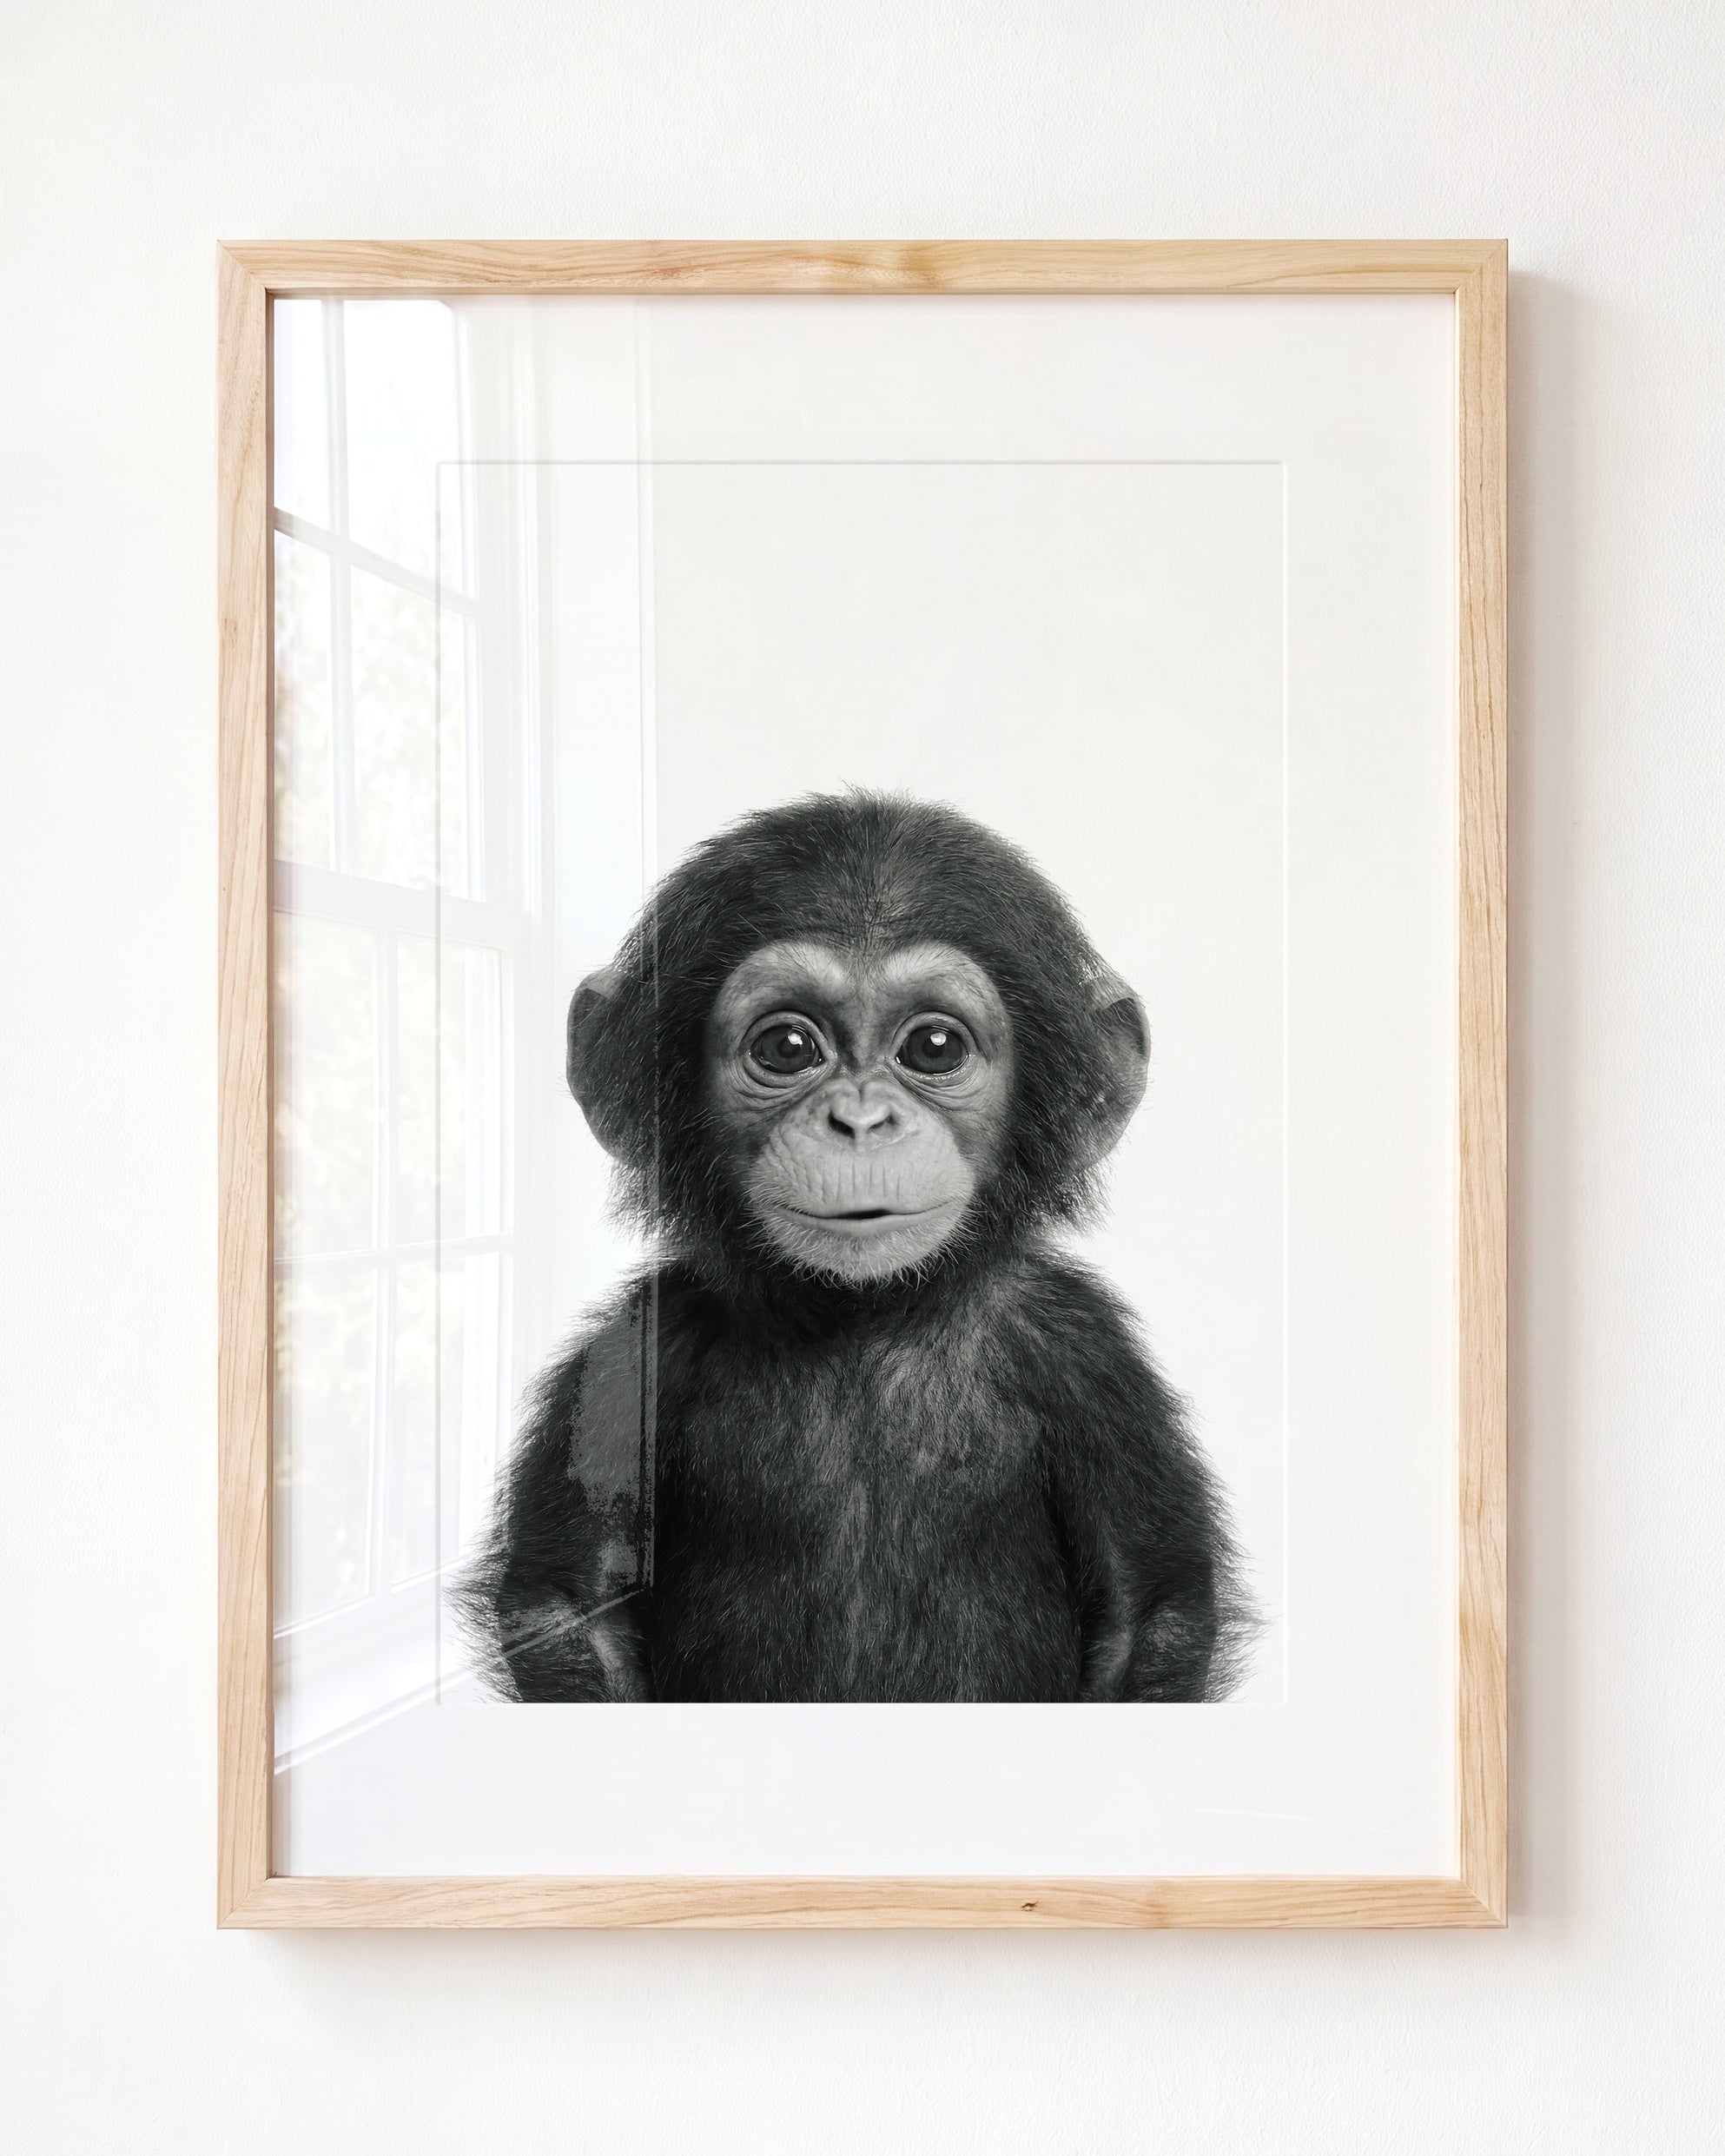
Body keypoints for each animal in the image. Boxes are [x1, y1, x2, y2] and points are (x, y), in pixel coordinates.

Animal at [458, 791, 1253, 1703]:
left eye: (934, 1048)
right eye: (786, 1048)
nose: (862, 1120)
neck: (865, 1316)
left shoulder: (1086, 1354)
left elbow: (1147, 1610)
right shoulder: (634, 1354)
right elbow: (570, 1607)